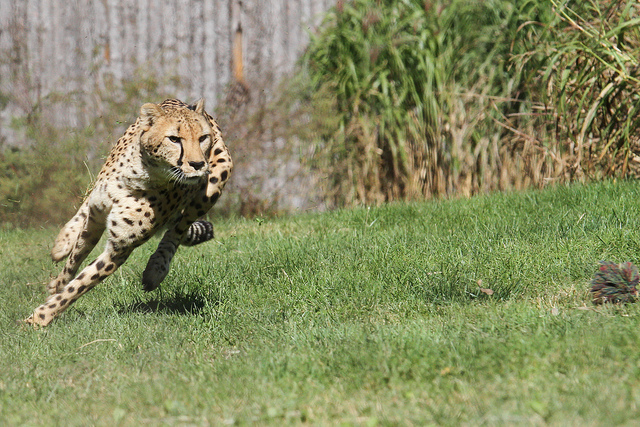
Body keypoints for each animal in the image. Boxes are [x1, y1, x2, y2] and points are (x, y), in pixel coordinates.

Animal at [25, 98, 232, 326]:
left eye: (203, 138)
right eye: (174, 139)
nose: (197, 164)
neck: (141, 176)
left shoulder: (120, 248)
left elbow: (80, 285)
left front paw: (40, 317)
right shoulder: (95, 219)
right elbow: (74, 261)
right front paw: (56, 287)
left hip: (216, 180)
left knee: (179, 228)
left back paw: (156, 269)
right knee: (85, 207)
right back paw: (62, 243)